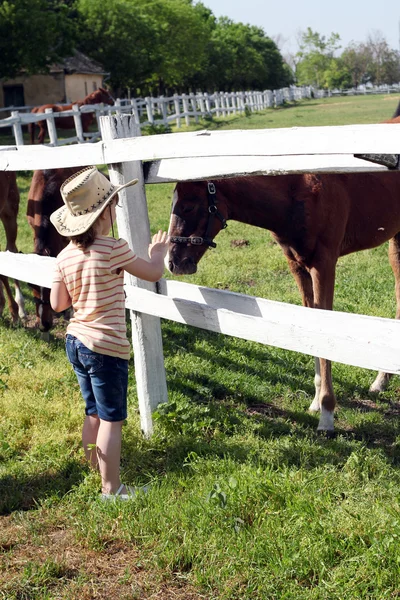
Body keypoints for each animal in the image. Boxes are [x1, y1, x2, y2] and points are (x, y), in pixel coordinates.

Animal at [166, 171, 400, 434]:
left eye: (188, 206)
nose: (172, 262)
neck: (297, 192)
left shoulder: (324, 264)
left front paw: (327, 414)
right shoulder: (297, 265)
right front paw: (316, 402)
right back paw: (381, 381)